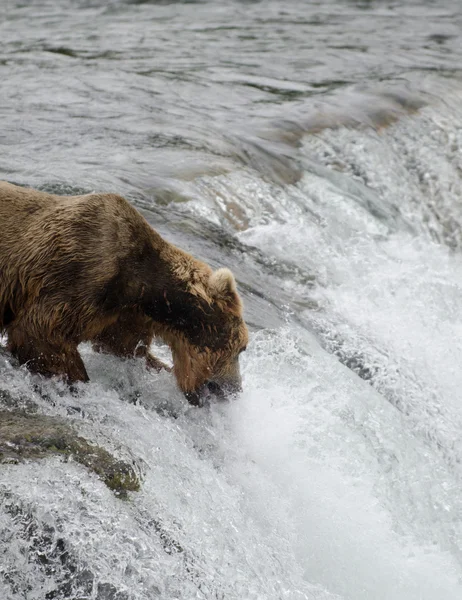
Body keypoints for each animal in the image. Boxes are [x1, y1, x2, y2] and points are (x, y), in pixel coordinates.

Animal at [0, 180, 249, 406]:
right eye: (241, 348)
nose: (231, 390)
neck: (144, 288)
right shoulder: (80, 270)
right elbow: (40, 333)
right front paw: (78, 382)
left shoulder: (121, 315)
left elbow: (124, 348)